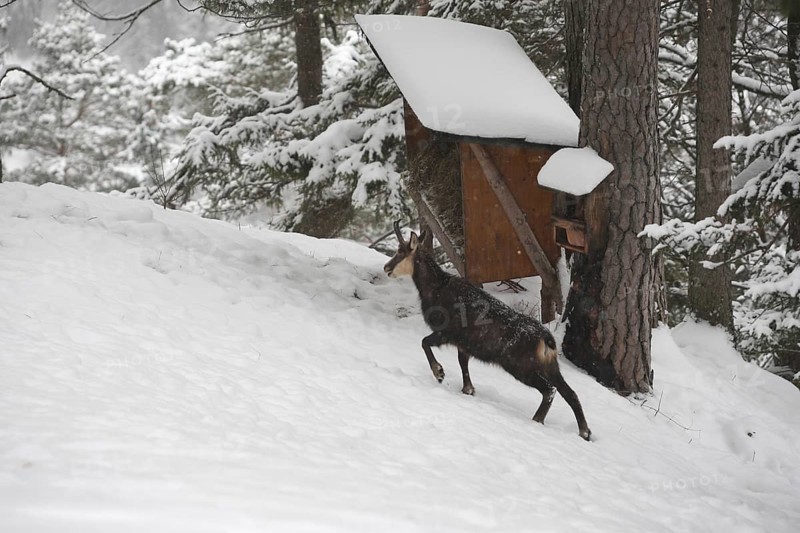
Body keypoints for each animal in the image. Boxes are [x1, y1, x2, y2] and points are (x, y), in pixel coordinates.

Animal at [384, 222, 591, 441]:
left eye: (401, 251)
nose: (386, 268)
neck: (435, 288)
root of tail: (547, 339)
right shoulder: (464, 344)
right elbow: (463, 363)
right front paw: (468, 389)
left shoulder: (447, 333)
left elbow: (424, 342)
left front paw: (439, 373)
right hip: (550, 366)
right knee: (570, 393)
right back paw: (584, 432)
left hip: (520, 365)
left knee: (549, 389)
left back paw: (537, 420)